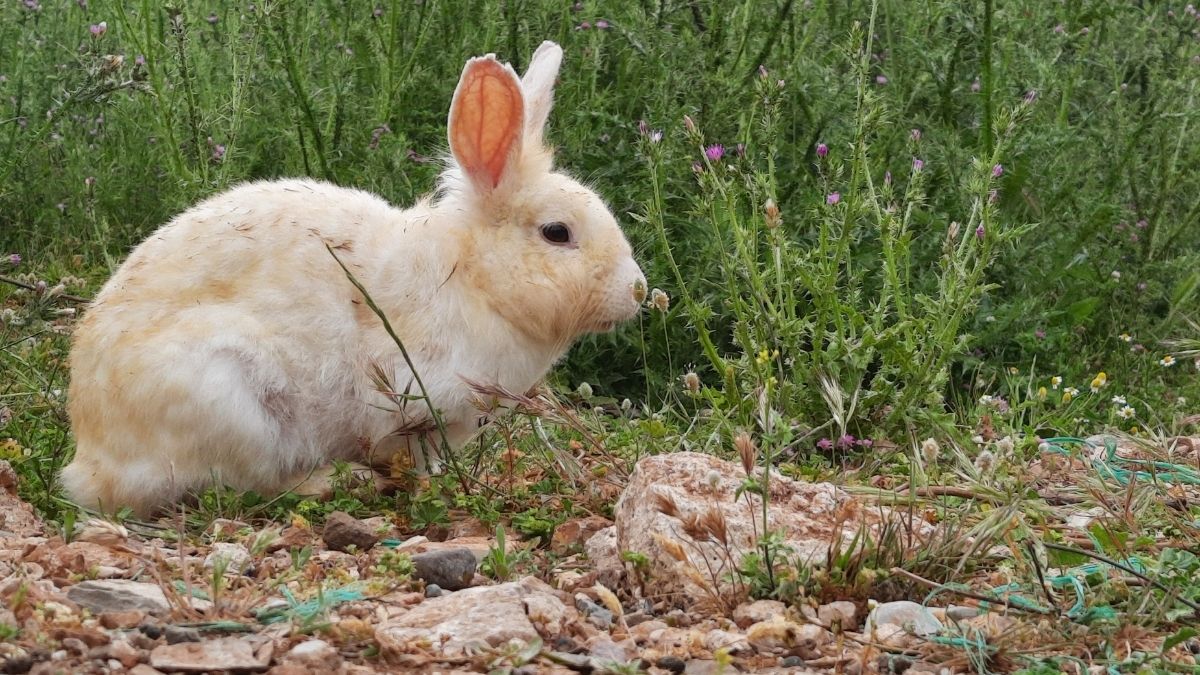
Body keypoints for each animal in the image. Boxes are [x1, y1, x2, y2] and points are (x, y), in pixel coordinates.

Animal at [61, 41, 647, 517]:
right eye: (557, 233)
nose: (637, 292)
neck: (472, 276)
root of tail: (92, 462)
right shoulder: (410, 404)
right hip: (234, 404)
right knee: (245, 485)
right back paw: (337, 482)